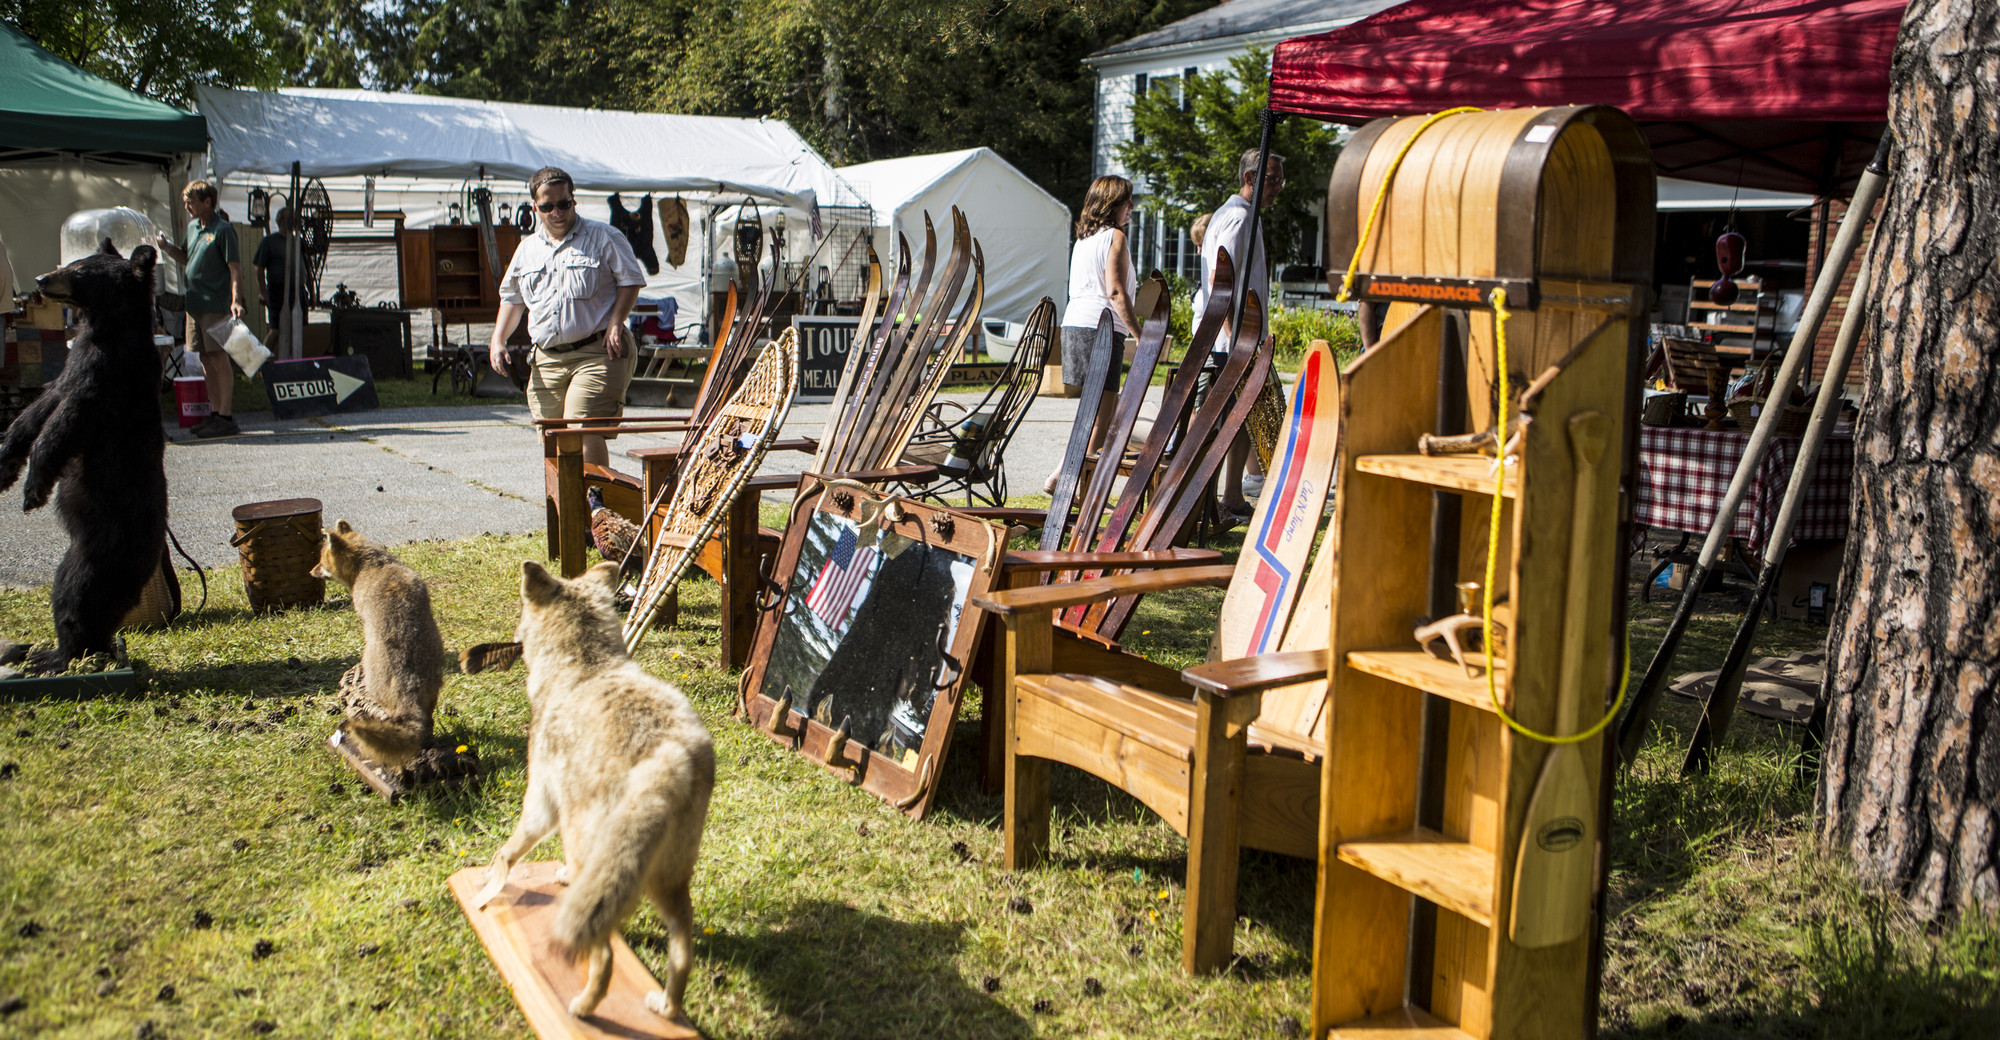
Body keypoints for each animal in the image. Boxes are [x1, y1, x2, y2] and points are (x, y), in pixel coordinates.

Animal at [0, 240, 167, 672]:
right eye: (73, 260)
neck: (103, 328)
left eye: (79, 271)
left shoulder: (108, 374)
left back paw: (56, 655)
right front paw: (6, 461)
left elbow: (65, 422)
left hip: (96, 553)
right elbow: (38, 410)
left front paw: (34, 489)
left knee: (75, 597)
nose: (41, 279)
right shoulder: (70, 368)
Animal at [474, 560, 712, 1024]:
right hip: (668, 885)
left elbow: (507, 853)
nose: (512, 638)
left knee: (603, 957)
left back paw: (583, 1009)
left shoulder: (543, 805)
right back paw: (666, 1007)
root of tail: (670, 757)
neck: (586, 666)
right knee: (682, 954)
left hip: (601, 857)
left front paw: (491, 884)